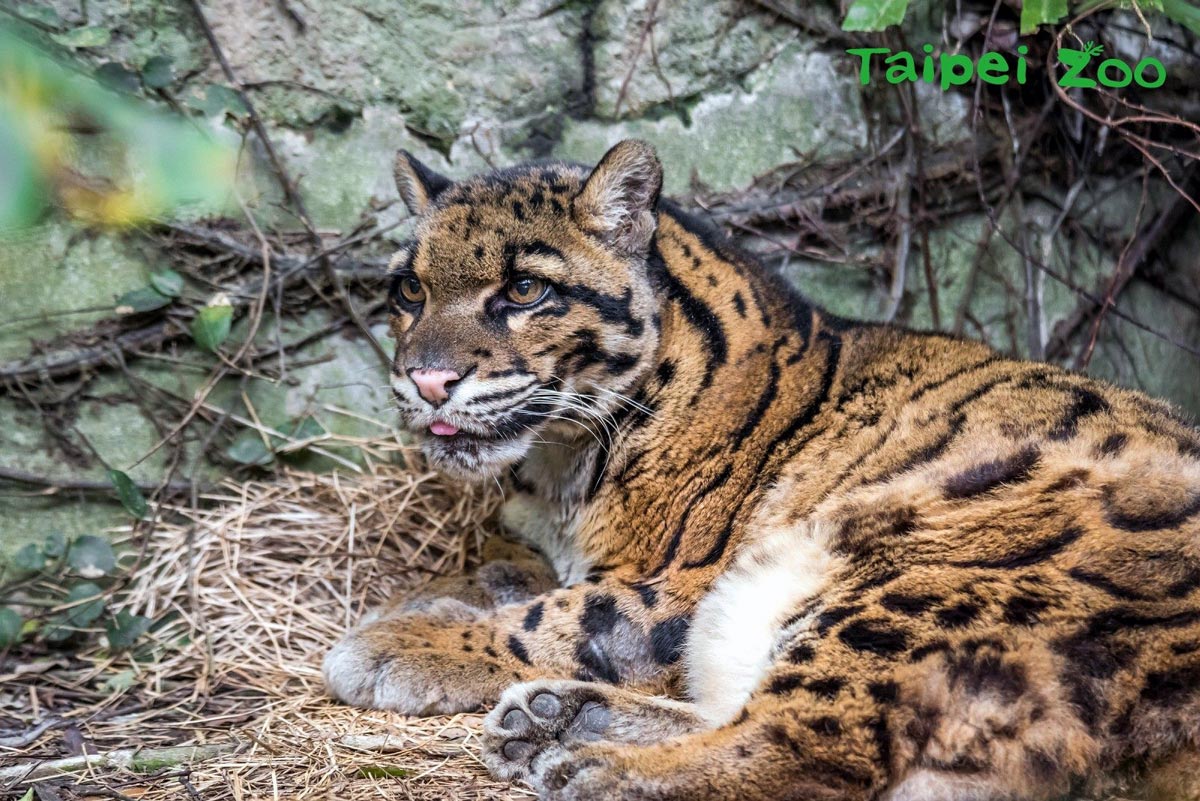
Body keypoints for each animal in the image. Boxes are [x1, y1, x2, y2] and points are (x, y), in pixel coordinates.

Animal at [321, 139, 1200, 801]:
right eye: (409, 290)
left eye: (525, 288)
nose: (425, 380)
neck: (559, 458)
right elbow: (500, 573)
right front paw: (416, 600)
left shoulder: (673, 585)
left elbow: (559, 616)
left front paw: (394, 643)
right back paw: (558, 719)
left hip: (919, 570)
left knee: (809, 747)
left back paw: (595, 765)